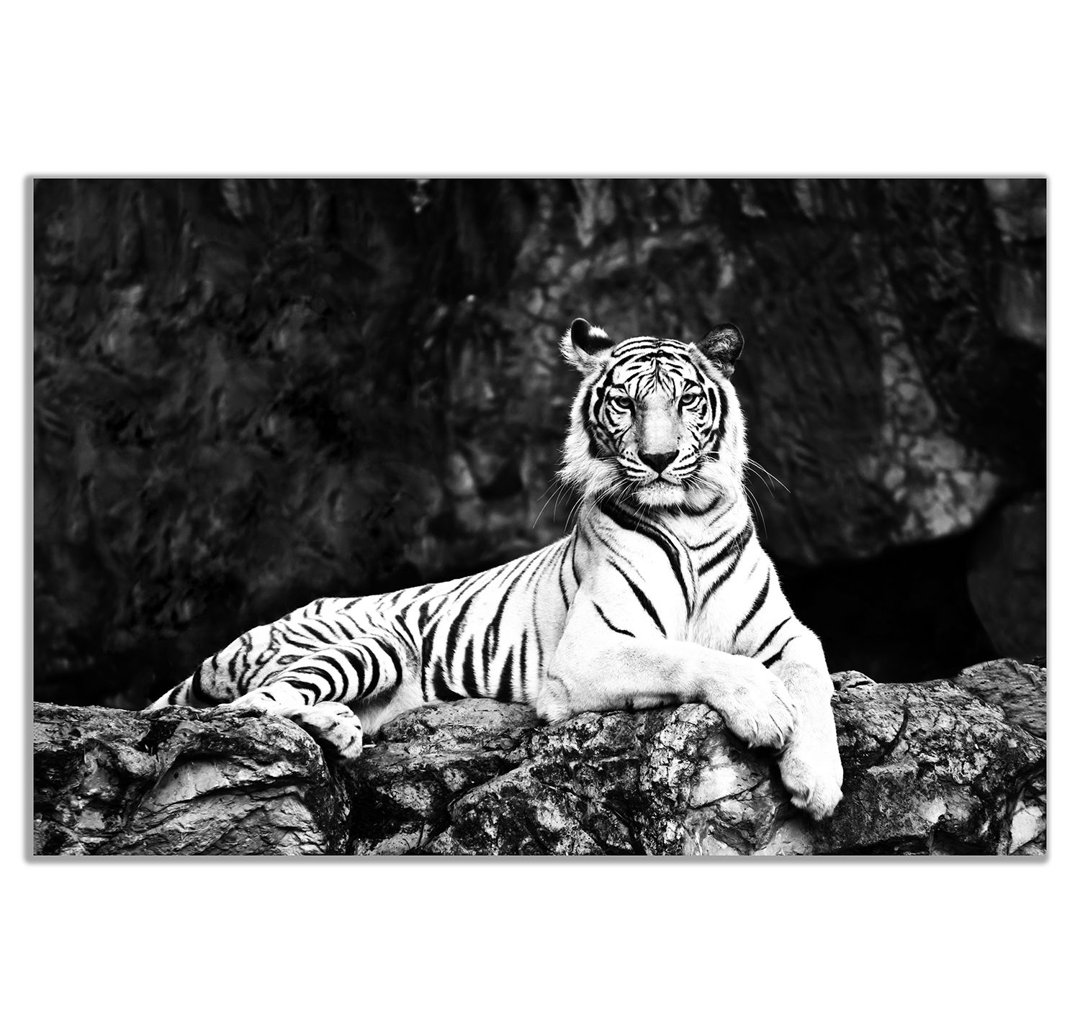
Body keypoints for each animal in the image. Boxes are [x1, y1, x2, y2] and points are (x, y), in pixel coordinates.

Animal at [147, 318, 844, 820]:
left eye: (687, 401)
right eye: (624, 403)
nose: (658, 458)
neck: (689, 515)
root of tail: (248, 634)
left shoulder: (785, 633)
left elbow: (812, 676)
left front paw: (818, 779)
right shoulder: (590, 648)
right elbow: (688, 657)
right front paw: (765, 709)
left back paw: (343, 730)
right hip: (370, 643)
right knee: (253, 705)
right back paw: (334, 728)